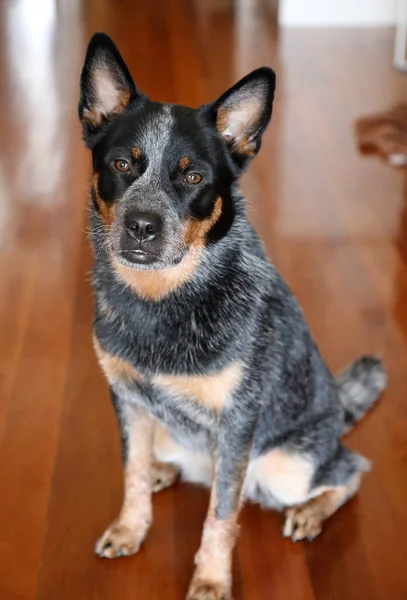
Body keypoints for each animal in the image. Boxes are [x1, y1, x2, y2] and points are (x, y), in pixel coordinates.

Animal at [79, 31, 386, 600]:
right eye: (123, 165)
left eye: (194, 176)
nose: (141, 226)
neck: (161, 300)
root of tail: (337, 412)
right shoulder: (126, 399)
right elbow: (132, 472)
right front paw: (131, 526)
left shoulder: (238, 421)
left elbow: (221, 515)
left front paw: (211, 578)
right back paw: (164, 469)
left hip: (288, 465)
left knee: (347, 469)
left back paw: (310, 511)